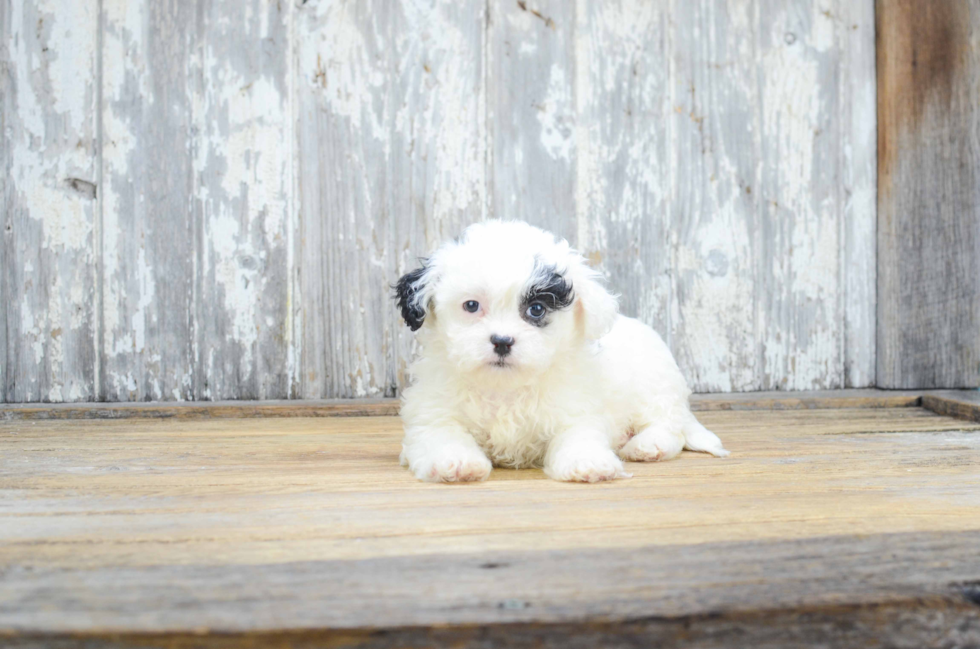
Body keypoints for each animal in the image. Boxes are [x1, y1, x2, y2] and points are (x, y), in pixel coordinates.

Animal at [396, 221, 728, 480]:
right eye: (471, 305)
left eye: (537, 309)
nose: (502, 341)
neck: (505, 388)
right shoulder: (434, 412)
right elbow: (442, 434)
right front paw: (455, 462)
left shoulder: (577, 408)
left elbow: (579, 434)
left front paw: (588, 462)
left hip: (653, 385)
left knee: (669, 425)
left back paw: (647, 446)